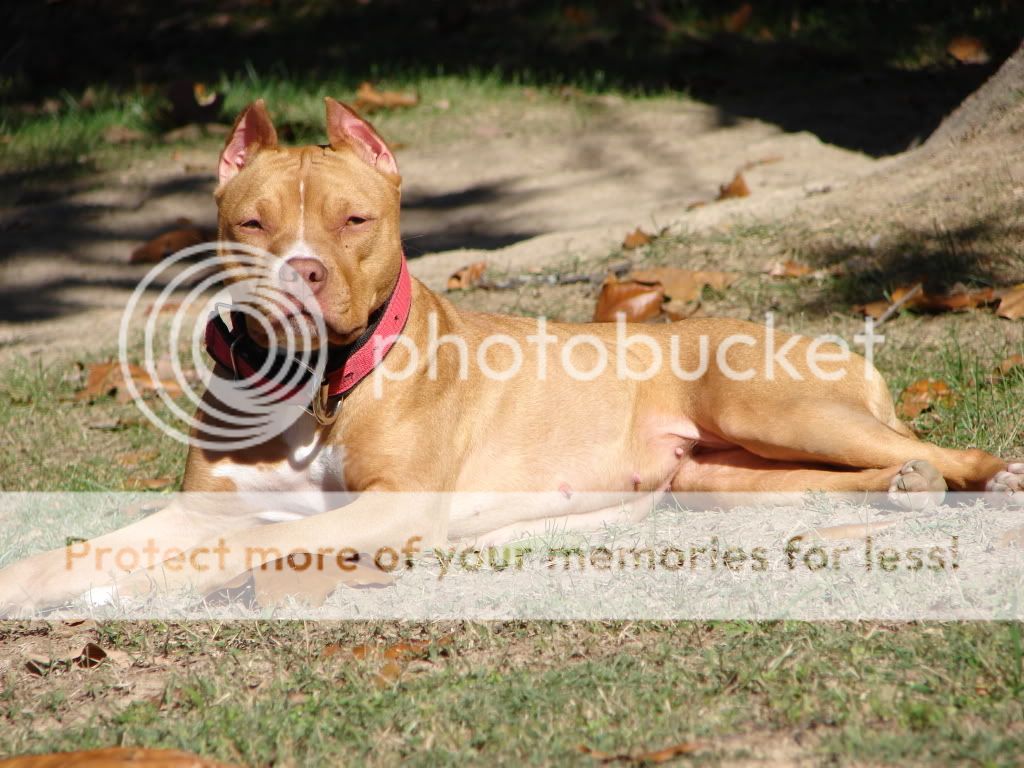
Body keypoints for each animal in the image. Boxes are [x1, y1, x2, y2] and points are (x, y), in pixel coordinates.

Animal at [0, 97, 1019, 614]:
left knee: (946, 448)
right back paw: (907, 491)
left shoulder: (396, 506)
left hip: (768, 405)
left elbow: (273, 541)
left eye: (353, 220)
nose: (298, 271)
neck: (322, 385)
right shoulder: (194, 509)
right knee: (861, 472)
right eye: (252, 223)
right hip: (725, 476)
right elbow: (74, 552)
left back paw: (984, 476)